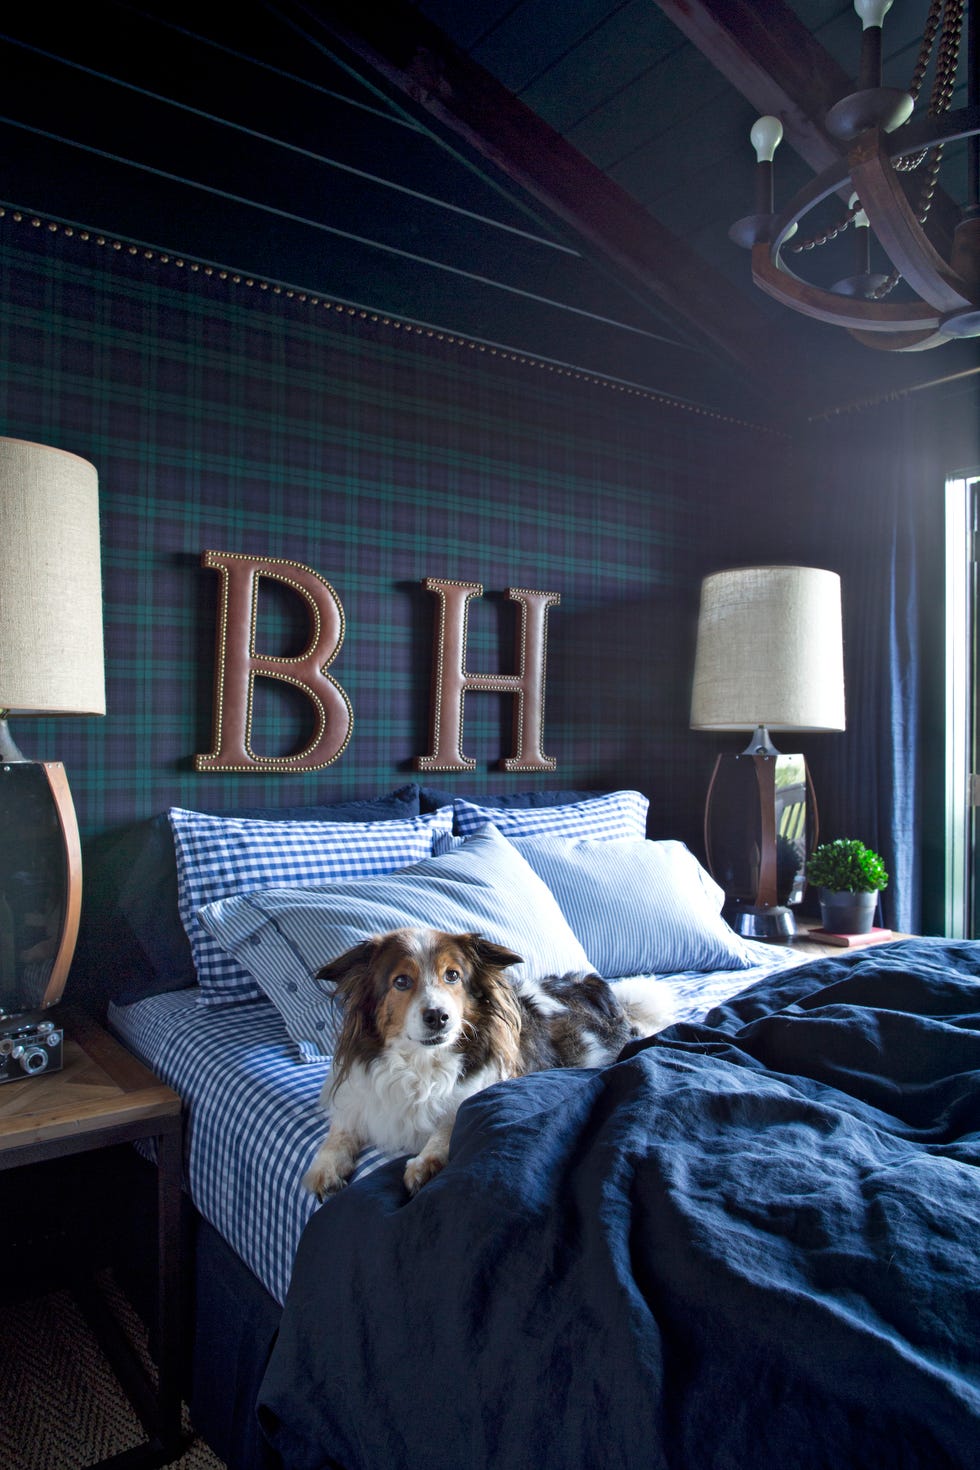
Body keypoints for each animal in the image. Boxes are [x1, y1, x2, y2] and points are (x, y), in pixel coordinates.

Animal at [304, 923, 675, 1199]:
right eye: (401, 981)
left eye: (452, 976)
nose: (438, 1017)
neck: (420, 1064)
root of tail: (597, 987)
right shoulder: (361, 1098)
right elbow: (340, 1131)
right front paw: (325, 1166)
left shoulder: (478, 1089)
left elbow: (450, 1121)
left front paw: (426, 1161)